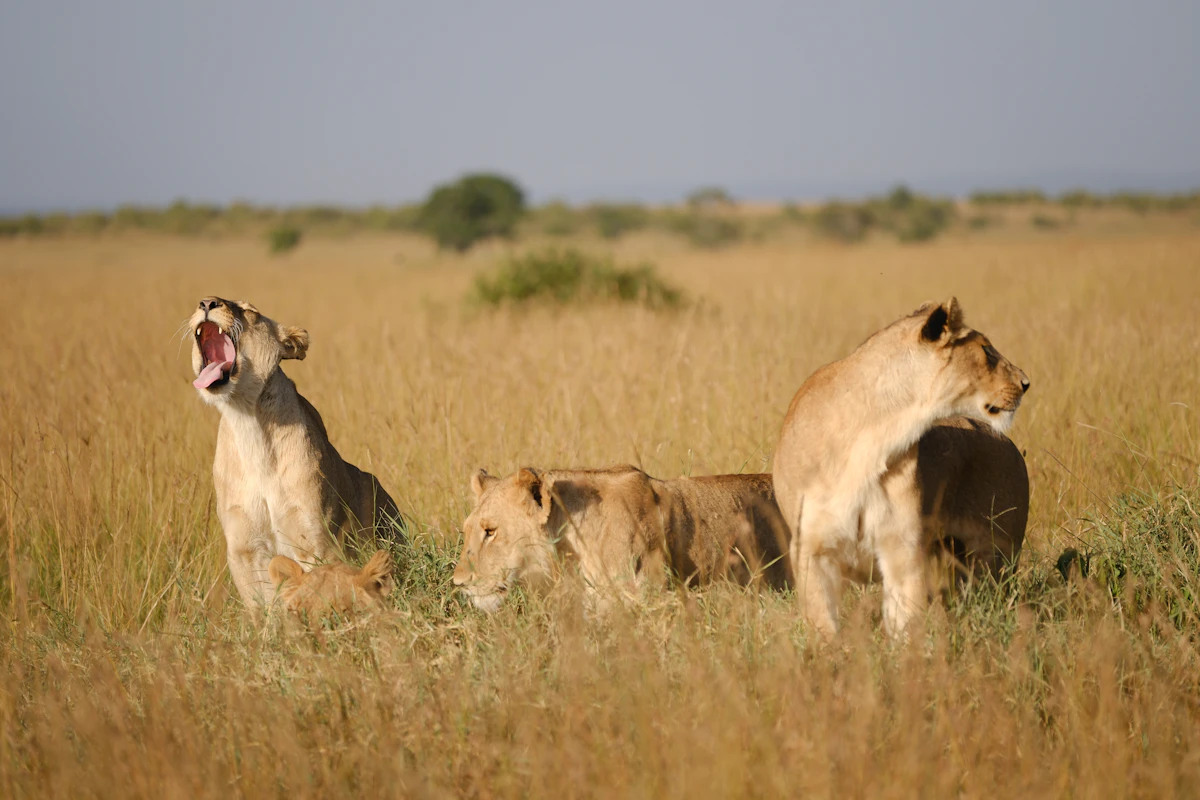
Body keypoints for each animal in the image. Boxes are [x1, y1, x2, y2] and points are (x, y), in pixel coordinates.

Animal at [187, 296, 403, 612]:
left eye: (249, 311)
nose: (206, 302)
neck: (247, 420)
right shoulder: (243, 550)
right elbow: (260, 610)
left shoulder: (316, 541)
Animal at [772, 298, 1030, 639]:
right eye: (987, 351)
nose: (1026, 383)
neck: (876, 430)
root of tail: (1005, 441)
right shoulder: (811, 549)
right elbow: (823, 622)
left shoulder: (902, 545)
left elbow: (907, 617)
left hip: (995, 555)